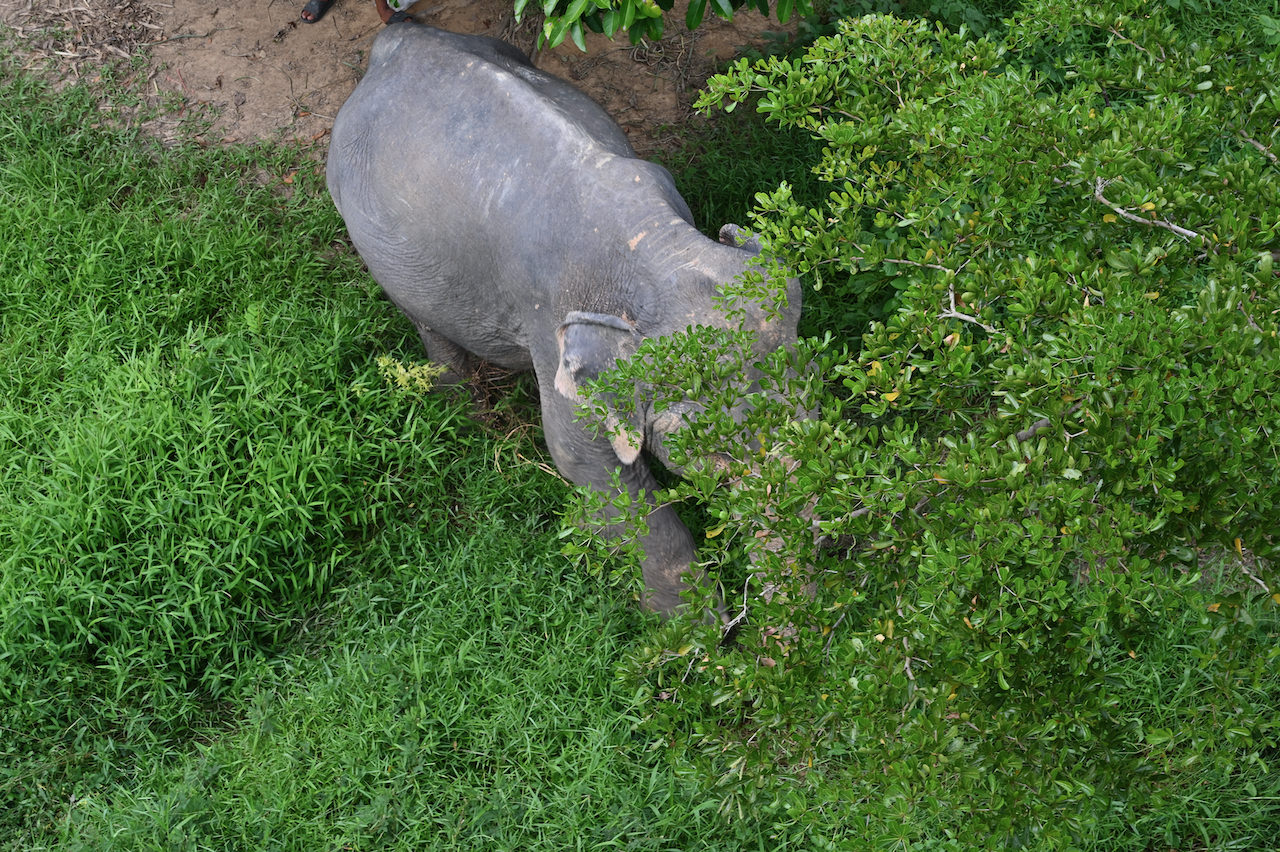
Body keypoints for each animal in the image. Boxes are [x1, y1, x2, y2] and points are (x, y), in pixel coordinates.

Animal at [327, 22, 802, 617]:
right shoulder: (551, 318)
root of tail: (396, 37)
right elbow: (581, 462)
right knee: (427, 324)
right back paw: (465, 419)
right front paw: (697, 630)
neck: (658, 245)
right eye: (702, 445)